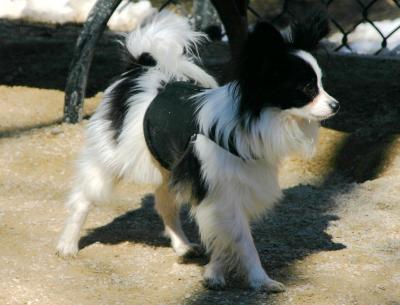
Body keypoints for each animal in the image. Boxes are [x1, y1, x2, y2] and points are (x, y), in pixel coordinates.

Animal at [55, 11, 338, 292]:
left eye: (322, 83)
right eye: (307, 88)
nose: (336, 105)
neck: (252, 118)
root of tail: (140, 68)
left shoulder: (221, 193)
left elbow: (222, 237)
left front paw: (214, 273)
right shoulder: (218, 191)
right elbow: (242, 241)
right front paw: (260, 279)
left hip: (166, 168)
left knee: (166, 206)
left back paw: (182, 246)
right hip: (110, 160)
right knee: (84, 199)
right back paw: (68, 244)